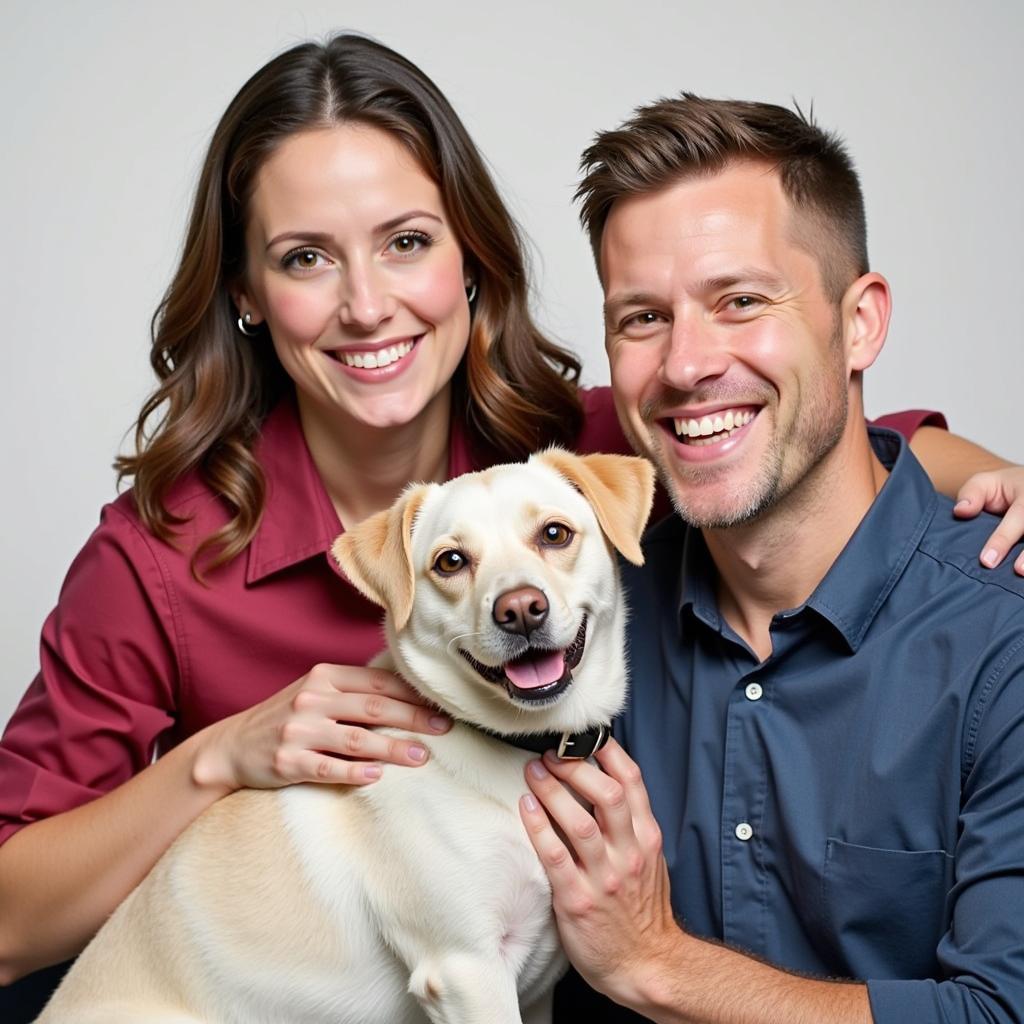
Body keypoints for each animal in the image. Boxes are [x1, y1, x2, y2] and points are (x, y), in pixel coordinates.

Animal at [37, 450, 655, 1024]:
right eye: (451, 561)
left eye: (554, 533)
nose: (521, 610)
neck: (523, 746)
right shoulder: (467, 969)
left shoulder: (535, 992)